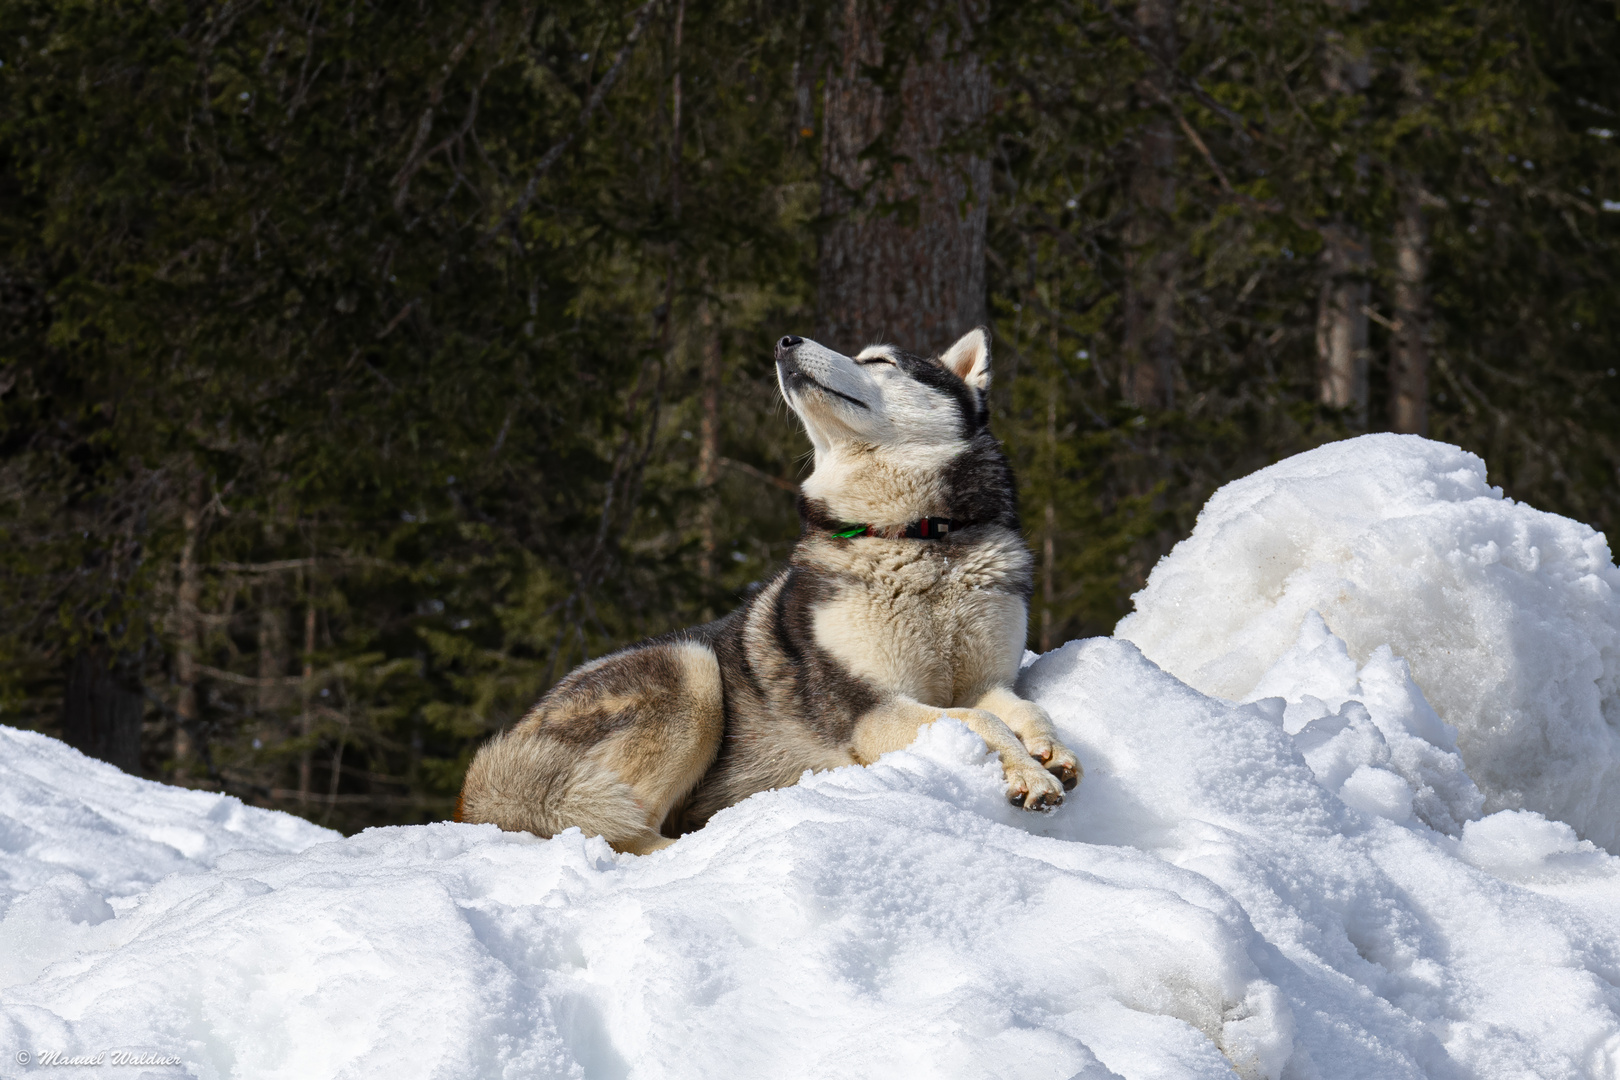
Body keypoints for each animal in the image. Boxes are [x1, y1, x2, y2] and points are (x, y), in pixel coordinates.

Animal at [456, 330, 1082, 854]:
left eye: (880, 361)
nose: (785, 341)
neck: (918, 539)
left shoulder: (986, 681)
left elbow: (1020, 708)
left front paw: (1049, 751)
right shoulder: (870, 709)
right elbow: (981, 723)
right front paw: (1030, 776)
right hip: (692, 674)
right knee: (620, 831)